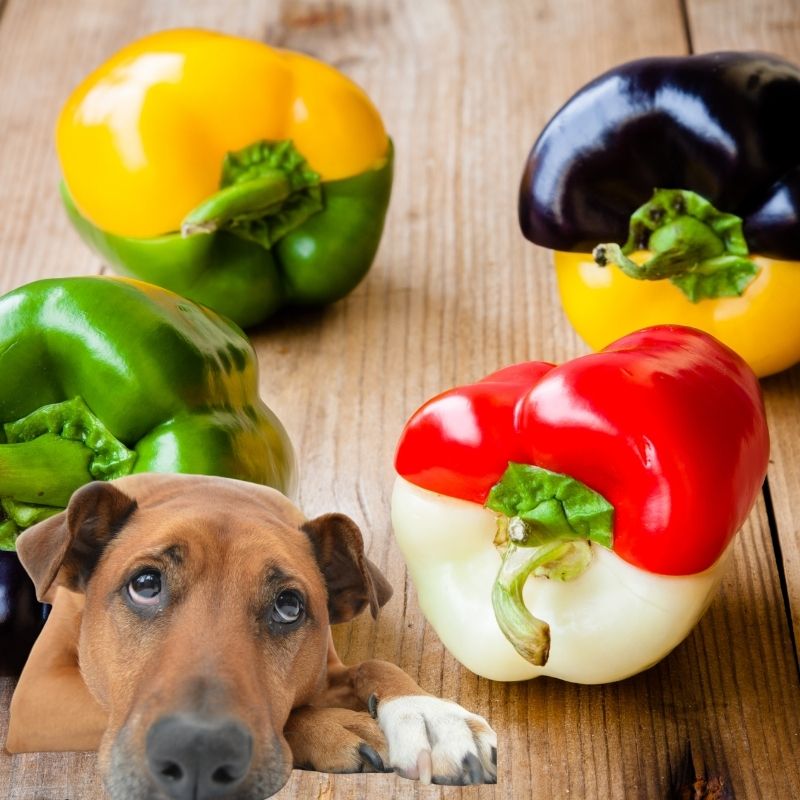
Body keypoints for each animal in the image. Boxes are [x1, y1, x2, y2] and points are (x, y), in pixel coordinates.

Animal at [4, 472, 494, 796]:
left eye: (289, 606)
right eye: (144, 584)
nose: (199, 752)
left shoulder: (326, 666)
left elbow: (376, 662)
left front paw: (430, 716)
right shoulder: (39, 695)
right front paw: (331, 726)